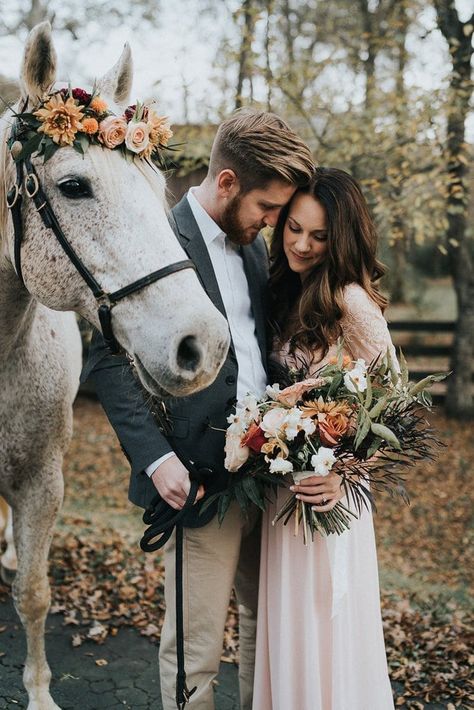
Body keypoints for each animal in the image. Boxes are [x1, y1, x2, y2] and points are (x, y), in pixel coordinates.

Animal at [0, 22, 230, 710]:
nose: (204, 343)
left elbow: (34, 596)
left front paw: (39, 694)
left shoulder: (41, 484)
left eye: (157, 191)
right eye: (75, 186)